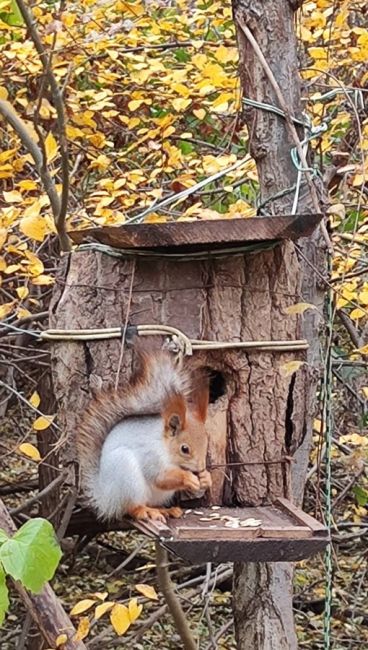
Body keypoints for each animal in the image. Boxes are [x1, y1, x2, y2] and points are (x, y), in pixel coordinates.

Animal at [76, 344, 211, 520]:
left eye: (206, 442)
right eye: (184, 449)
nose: (201, 468)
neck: (165, 446)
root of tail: (106, 498)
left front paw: (206, 478)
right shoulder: (151, 455)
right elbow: (160, 478)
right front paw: (188, 478)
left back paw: (165, 510)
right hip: (127, 477)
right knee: (132, 507)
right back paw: (145, 511)